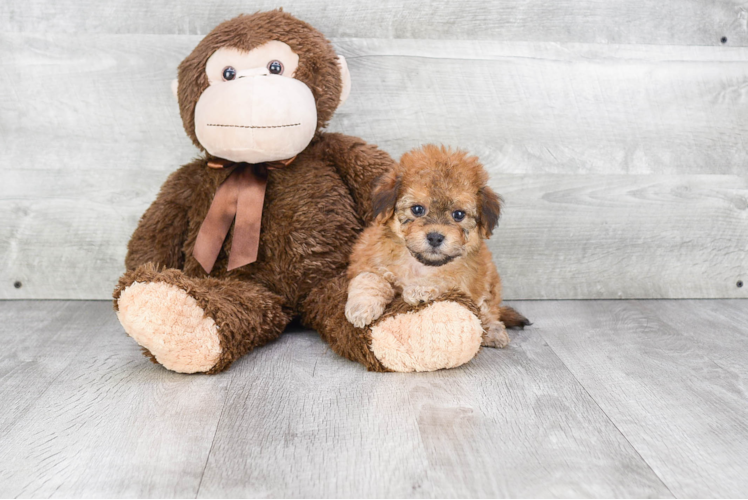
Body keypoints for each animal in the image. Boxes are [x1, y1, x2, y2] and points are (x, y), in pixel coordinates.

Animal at [111, 9, 490, 374]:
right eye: (228, 73)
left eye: (275, 67)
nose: (249, 92)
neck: (262, 165)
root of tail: (291, 309)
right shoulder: (187, 182)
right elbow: (155, 231)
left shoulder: (343, 153)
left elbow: (372, 170)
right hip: (245, 289)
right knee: (228, 305)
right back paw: (169, 307)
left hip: (337, 279)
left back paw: (424, 326)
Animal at [346, 145, 528, 348]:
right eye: (417, 209)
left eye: (458, 214)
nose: (435, 237)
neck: (419, 263)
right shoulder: (365, 258)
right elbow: (369, 277)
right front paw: (361, 307)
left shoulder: (465, 279)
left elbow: (444, 278)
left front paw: (419, 289)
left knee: (489, 309)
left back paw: (494, 331)